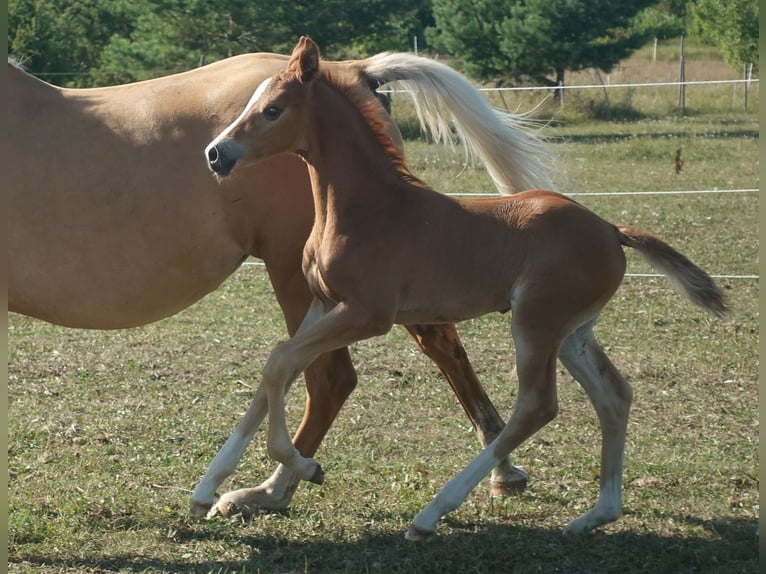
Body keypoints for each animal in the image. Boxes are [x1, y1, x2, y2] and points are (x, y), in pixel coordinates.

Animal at [9, 50, 556, 516]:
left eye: (273, 110)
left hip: (303, 279)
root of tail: (353, 70)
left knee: (328, 376)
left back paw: (272, 488)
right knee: (426, 344)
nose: (215, 155)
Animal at [201, 38, 728, 544]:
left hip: (536, 322)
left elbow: (281, 361)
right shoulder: (323, 304)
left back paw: (432, 513)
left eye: (273, 109)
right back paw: (595, 515)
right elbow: (278, 367)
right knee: (613, 396)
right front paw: (211, 490)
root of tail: (611, 229)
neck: (370, 208)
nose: (216, 154)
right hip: (573, 332)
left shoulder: (368, 313)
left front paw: (305, 467)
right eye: (250, 102)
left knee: (536, 406)